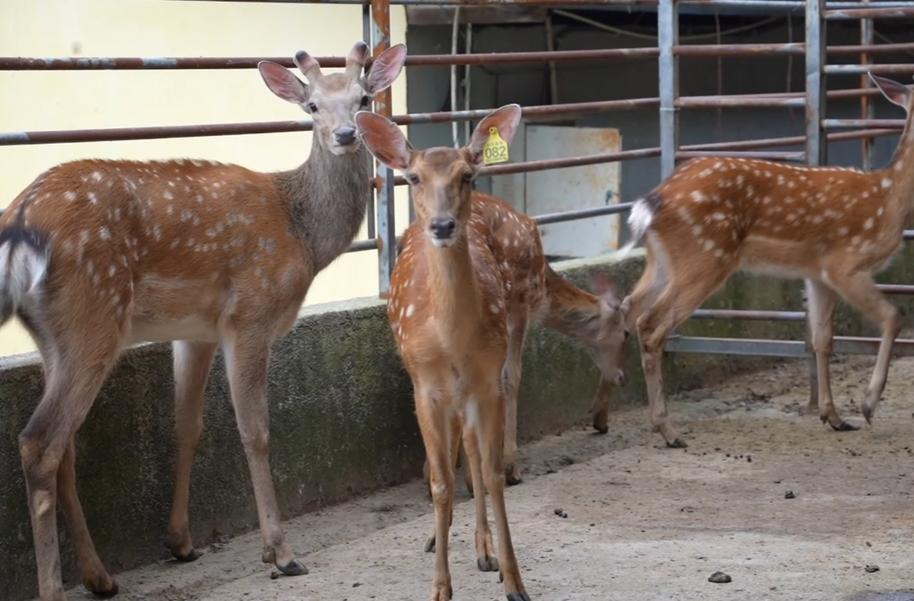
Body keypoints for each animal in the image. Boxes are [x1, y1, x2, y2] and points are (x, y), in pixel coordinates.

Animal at [0, 40, 407, 601]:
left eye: (364, 98)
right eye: (312, 107)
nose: (346, 134)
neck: (302, 234)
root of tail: (18, 223)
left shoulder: (196, 332)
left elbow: (187, 425)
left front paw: (180, 543)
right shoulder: (252, 312)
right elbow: (254, 430)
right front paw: (281, 553)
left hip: (54, 337)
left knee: (64, 447)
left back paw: (100, 576)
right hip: (93, 317)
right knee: (39, 442)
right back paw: (57, 587)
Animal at [355, 105, 532, 601]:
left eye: (467, 175)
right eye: (413, 177)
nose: (442, 225)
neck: (453, 339)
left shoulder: (488, 382)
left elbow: (491, 474)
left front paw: (514, 580)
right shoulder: (425, 386)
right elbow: (439, 482)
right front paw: (439, 587)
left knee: (470, 450)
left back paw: (483, 547)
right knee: (455, 455)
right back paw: (443, 537)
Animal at [417, 192, 631, 497]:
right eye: (626, 332)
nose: (622, 377)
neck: (543, 289)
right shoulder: (520, 304)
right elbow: (512, 376)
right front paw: (510, 466)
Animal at [620, 73, 914, 449]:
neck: (890, 201)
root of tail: (653, 201)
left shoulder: (817, 273)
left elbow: (822, 339)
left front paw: (834, 417)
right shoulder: (846, 263)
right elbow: (893, 317)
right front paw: (867, 404)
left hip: (662, 261)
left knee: (627, 307)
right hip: (705, 256)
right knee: (651, 324)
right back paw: (669, 432)